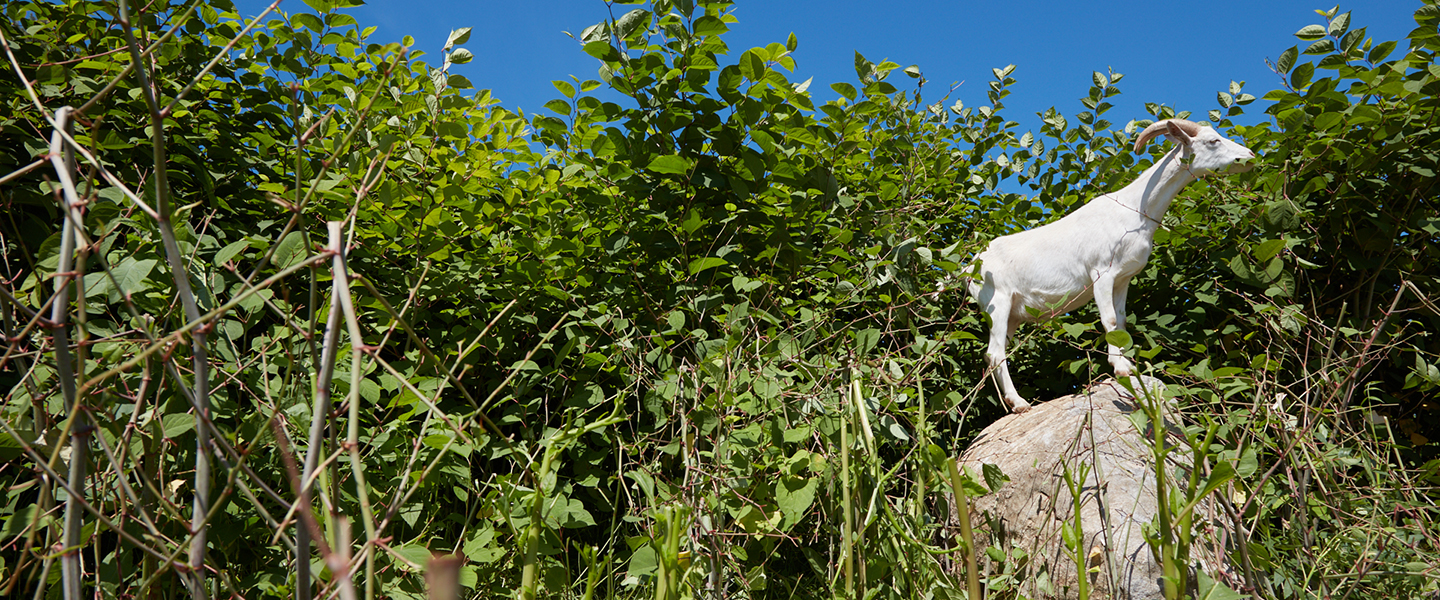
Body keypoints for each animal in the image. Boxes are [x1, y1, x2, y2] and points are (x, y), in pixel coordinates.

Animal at [967, 120, 1261, 414]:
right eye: (1213, 141)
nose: (1249, 156)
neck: (1135, 211)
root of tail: (971, 269)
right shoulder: (1101, 273)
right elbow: (1108, 319)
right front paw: (1120, 368)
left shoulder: (1123, 279)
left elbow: (1121, 322)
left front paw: (1128, 365)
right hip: (998, 302)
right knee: (995, 352)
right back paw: (1020, 404)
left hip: (1012, 316)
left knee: (994, 353)